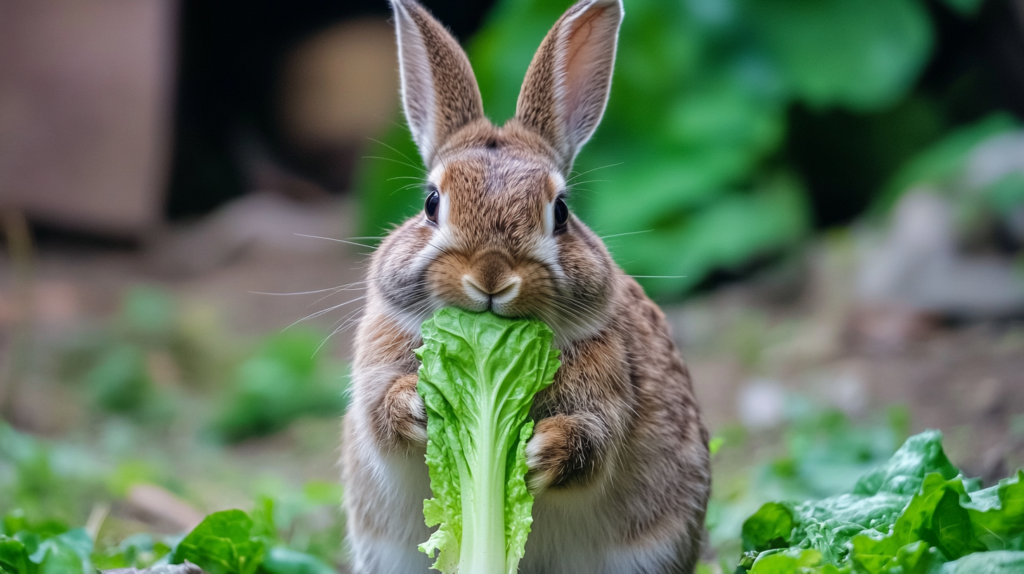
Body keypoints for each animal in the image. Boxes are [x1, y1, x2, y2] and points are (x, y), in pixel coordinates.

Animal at [339, 0, 708, 568]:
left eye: (561, 212)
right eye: (431, 203)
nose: (491, 276)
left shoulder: (608, 396)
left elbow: (592, 443)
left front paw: (537, 453)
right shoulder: (373, 374)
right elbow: (382, 412)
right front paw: (421, 404)